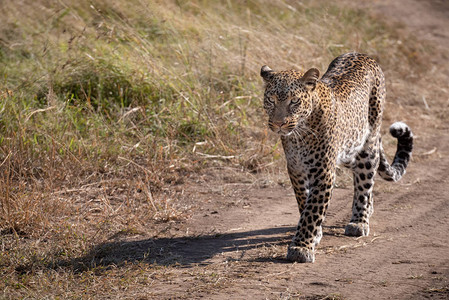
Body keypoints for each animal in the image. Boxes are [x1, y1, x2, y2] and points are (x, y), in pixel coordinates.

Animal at [260, 52, 412, 264]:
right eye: (271, 100)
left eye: (294, 101)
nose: (278, 124)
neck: (300, 134)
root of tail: (362, 54)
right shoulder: (296, 169)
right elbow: (303, 202)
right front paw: (314, 235)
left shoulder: (323, 172)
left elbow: (312, 211)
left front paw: (301, 247)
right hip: (349, 150)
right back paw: (369, 208)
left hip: (367, 146)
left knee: (365, 182)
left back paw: (359, 221)